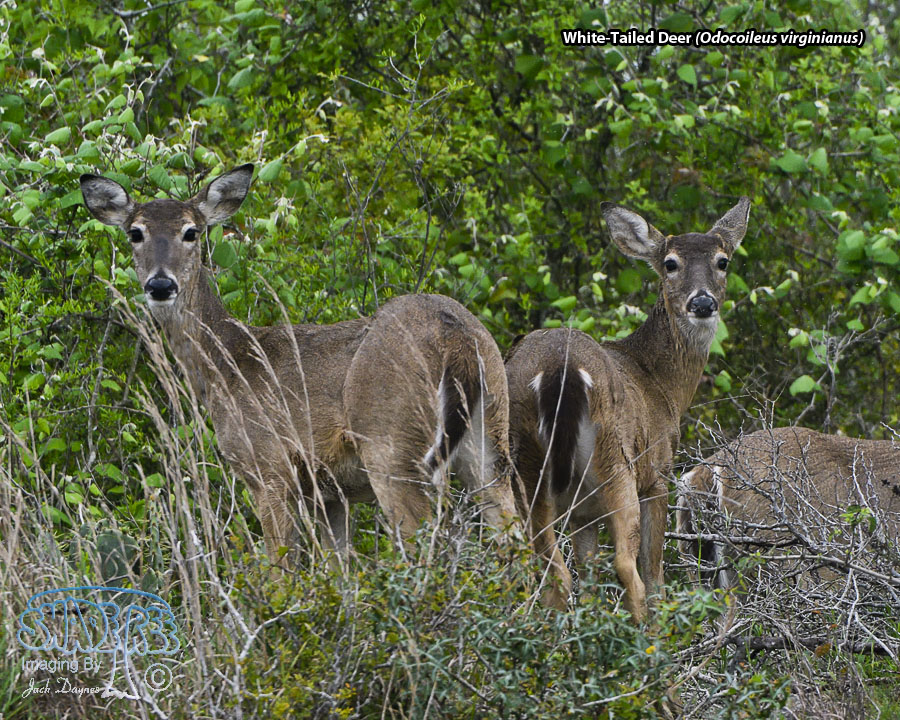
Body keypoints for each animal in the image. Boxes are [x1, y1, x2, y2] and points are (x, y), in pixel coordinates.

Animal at [80, 164, 521, 567]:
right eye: (135, 232)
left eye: (192, 231)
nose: (160, 285)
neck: (229, 365)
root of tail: (456, 338)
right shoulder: (329, 493)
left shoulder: (268, 467)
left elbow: (282, 568)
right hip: (490, 438)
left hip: (393, 445)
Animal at [505, 197, 750, 620]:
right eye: (670, 263)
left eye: (723, 261)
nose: (702, 302)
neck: (661, 384)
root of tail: (558, 370)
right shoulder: (658, 472)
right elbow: (654, 574)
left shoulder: (581, 508)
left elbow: (587, 577)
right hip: (615, 458)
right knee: (625, 567)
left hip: (526, 464)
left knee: (550, 571)